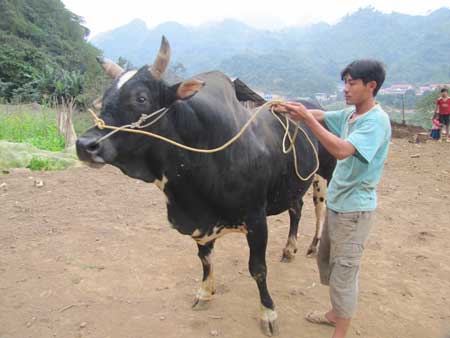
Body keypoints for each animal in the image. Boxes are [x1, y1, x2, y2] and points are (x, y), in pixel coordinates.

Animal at [76, 37, 334, 336]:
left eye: (141, 98)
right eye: (105, 97)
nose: (85, 145)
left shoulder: (256, 219)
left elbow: (258, 268)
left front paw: (268, 312)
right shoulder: (200, 221)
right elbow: (205, 259)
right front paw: (205, 292)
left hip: (324, 176)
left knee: (320, 209)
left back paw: (312, 245)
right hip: (294, 183)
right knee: (296, 208)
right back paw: (289, 249)